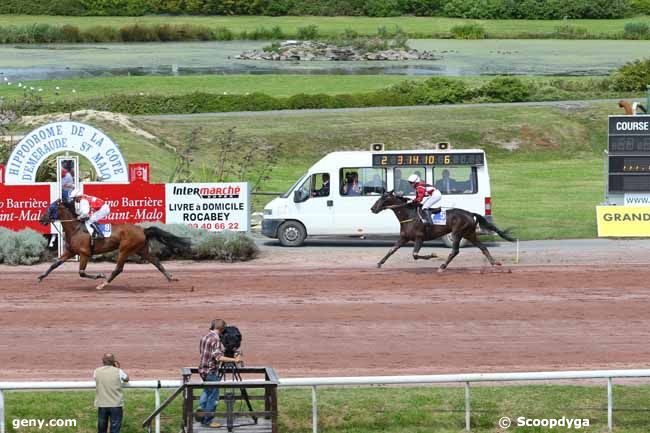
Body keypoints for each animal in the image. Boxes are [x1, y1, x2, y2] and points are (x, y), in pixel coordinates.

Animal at [38, 198, 190, 286]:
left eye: (51, 208)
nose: (41, 219)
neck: (75, 229)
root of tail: (143, 230)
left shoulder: (84, 253)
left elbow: (81, 272)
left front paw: (99, 275)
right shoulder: (71, 252)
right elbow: (54, 264)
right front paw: (40, 277)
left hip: (125, 249)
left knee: (118, 269)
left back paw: (103, 283)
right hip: (141, 249)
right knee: (157, 262)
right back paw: (171, 278)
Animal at [370, 192, 512, 270]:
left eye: (383, 199)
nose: (372, 208)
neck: (409, 215)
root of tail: (470, 214)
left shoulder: (419, 238)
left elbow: (415, 254)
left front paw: (433, 255)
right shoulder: (404, 238)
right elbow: (391, 250)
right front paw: (379, 263)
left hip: (457, 233)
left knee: (455, 251)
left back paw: (442, 266)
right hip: (469, 234)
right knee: (483, 247)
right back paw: (494, 263)